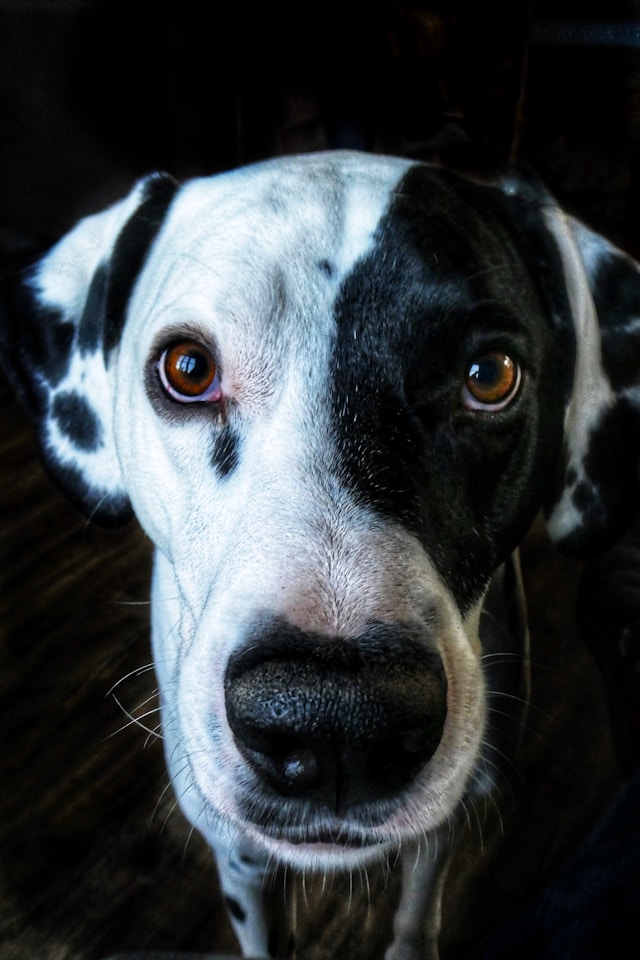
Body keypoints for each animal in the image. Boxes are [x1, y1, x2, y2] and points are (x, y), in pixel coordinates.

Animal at [1, 154, 640, 956]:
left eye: (489, 374)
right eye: (187, 367)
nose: (337, 721)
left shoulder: (449, 823)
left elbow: (416, 910)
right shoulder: (239, 861)